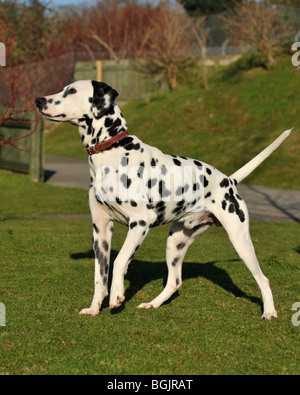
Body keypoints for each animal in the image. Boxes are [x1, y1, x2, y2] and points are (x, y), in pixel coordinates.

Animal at [35, 79, 290, 318]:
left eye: (71, 91)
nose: (38, 100)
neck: (111, 152)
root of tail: (229, 180)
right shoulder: (101, 230)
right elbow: (100, 275)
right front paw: (94, 307)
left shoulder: (140, 222)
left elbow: (119, 262)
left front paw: (117, 295)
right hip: (176, 242)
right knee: (174, 282)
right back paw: (152, 304)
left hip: (240, 241)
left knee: (263, 279)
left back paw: (269, 312)